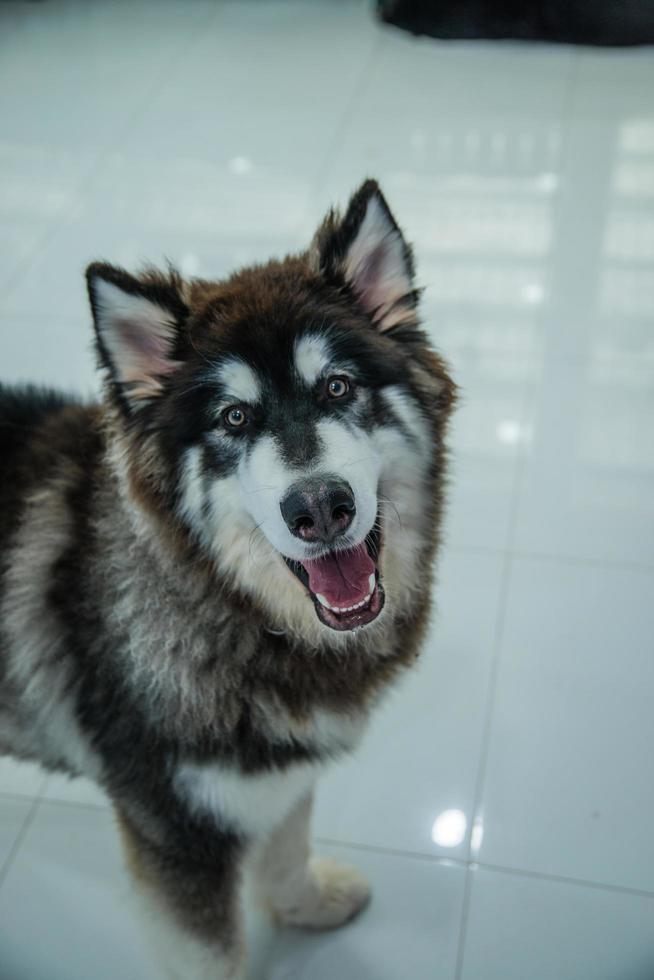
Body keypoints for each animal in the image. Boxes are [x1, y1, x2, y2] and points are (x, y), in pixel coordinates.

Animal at [0, 182, 458, 980]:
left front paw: (307, 905)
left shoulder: (279, 773)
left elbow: (286, 847)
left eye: (338, 386)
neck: (226, 610)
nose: (319, 508)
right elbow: (210, 955)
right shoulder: (176, 835)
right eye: (234, 417)